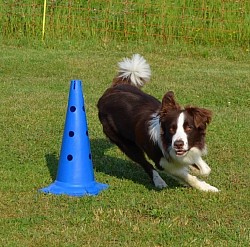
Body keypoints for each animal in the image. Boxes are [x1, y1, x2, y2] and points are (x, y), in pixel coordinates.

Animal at [97, 54, 219, 192]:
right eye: (171, 129)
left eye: (189, 128)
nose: (178, 144)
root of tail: (110, 91)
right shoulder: (162, 161)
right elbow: (186, 176)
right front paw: (206, 187)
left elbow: (205, 169)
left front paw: (195, 168)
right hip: (124, 143)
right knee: (145, 164)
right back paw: (159, 181)